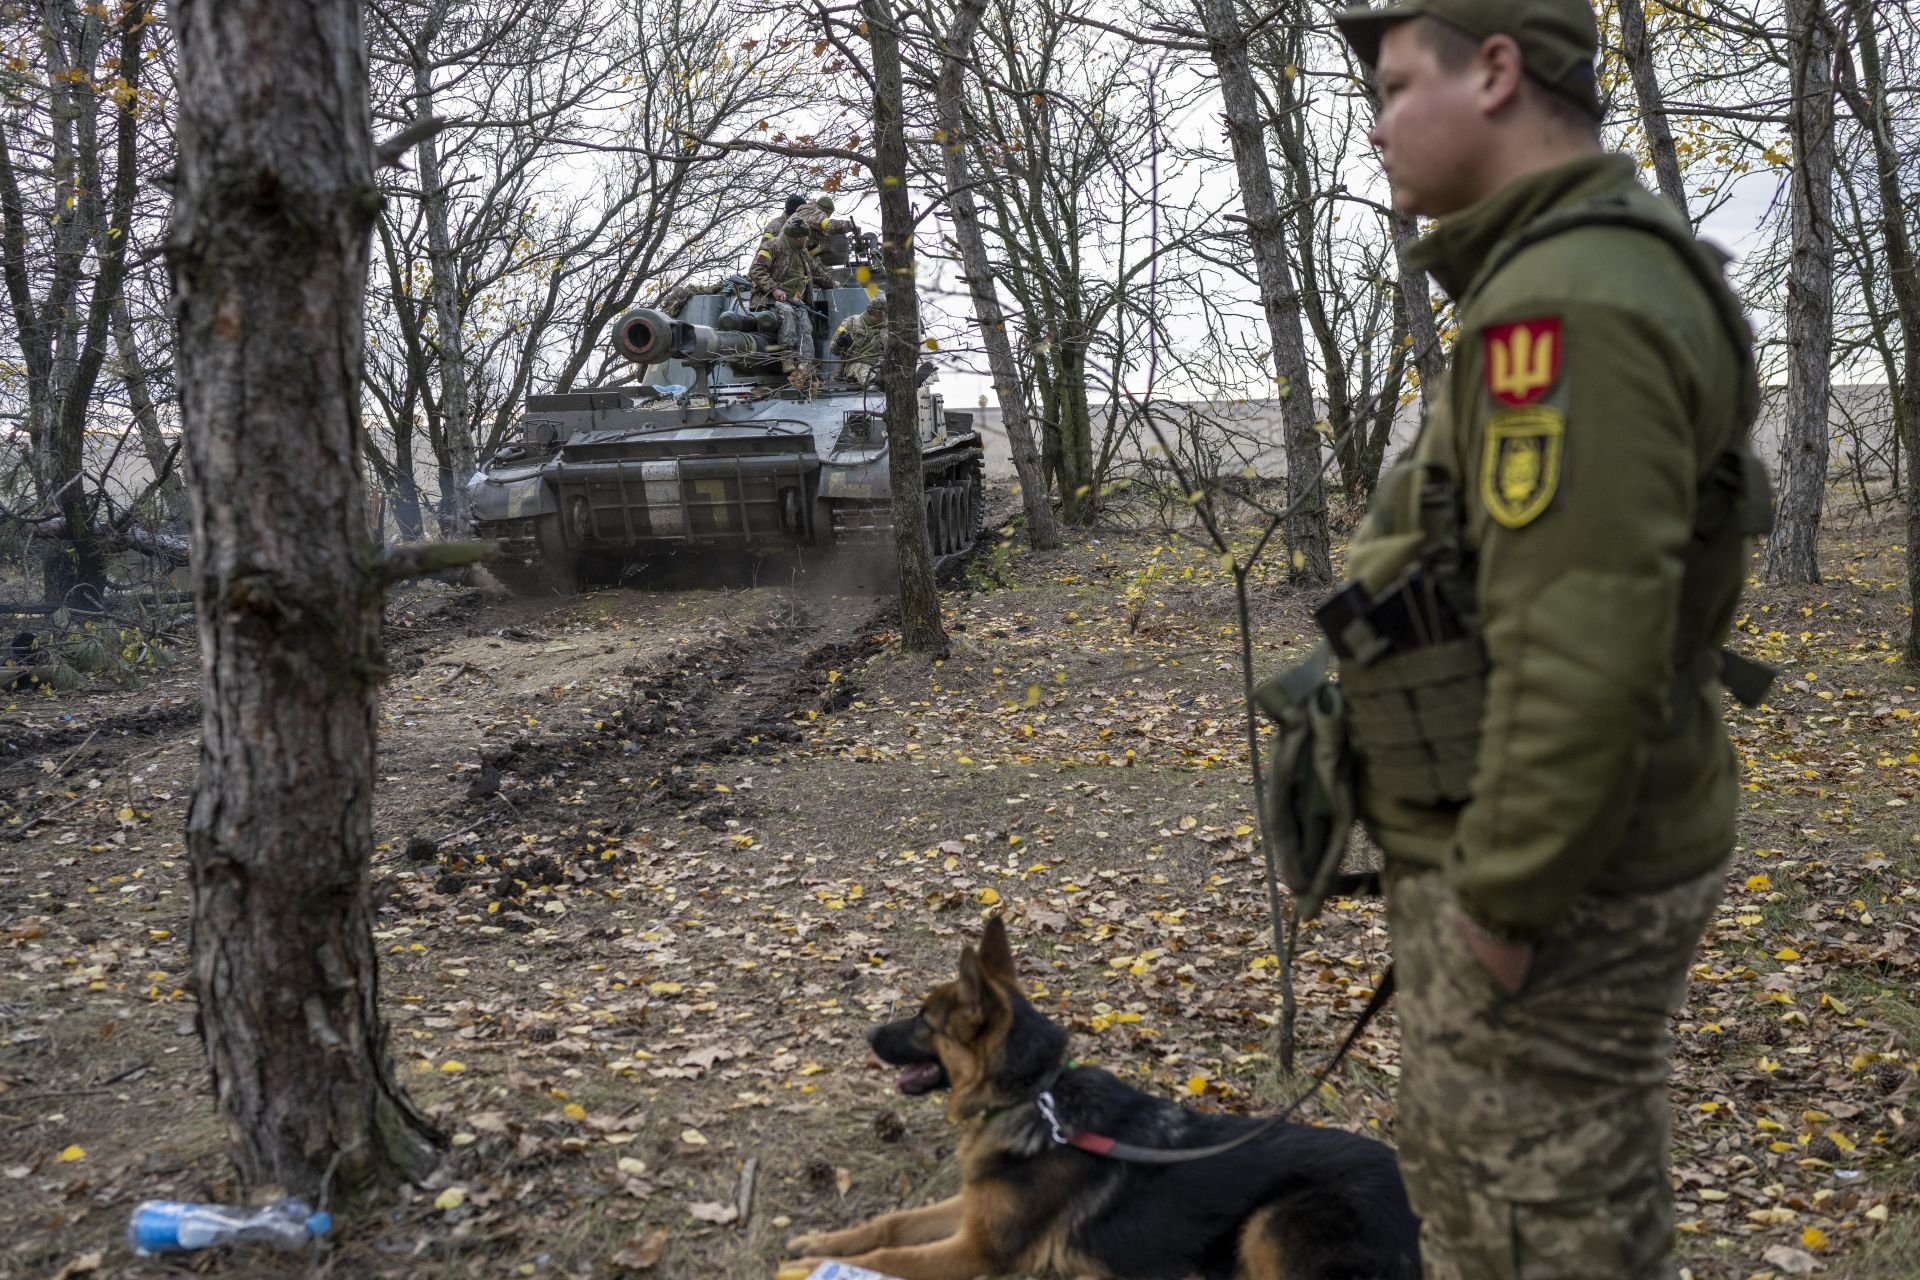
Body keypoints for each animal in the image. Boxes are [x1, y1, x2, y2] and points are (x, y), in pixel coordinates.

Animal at [783, 917, 1428, 1274]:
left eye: (923, 1020)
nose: (868, 1034)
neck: (1037, 1099)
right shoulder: (974, 1212)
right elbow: (892, 1225)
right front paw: (820, 1242)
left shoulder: (980, 1251)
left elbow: (891, 1258)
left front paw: (820, 1263)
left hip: (1274, 1222)